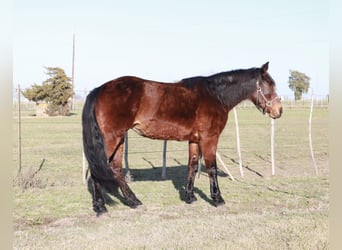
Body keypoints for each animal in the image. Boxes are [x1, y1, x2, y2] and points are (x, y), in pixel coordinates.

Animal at [81, 61, 282, 215]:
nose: (278, 111)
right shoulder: (209, 139)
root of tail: (99, 89)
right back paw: (101, 207)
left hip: (119, 139)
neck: (215, 95)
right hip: (111, 139)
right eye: (269, 86)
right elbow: (212, 168)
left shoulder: (194, 140)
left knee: (115, 169)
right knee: (97, 171)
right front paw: (217, 198)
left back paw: (133, 201)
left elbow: (192, 166)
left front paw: (190, 197)